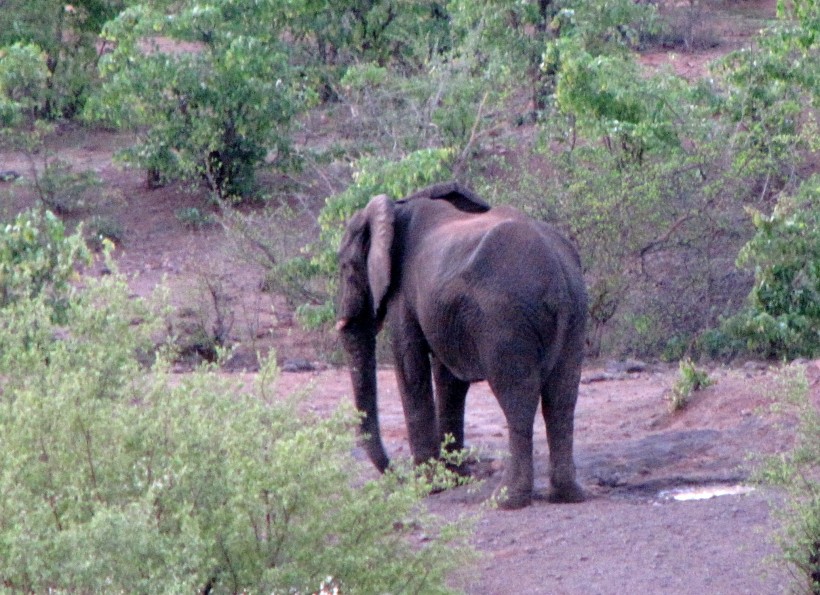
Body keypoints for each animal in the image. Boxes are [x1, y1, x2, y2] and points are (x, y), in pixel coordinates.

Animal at [336, 180, 588, 508]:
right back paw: (566, 495)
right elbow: (449, 380)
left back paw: (506, 500)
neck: (398, 206)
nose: (397, 475)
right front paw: (452, 480)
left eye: (346, 268)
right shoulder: (447, 310)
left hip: (505, 318)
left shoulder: (404, 293)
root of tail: (557, 273)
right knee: (562, 398)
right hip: (575, 313)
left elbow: (410, 366)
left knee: (517, 397)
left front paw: (427, 486)